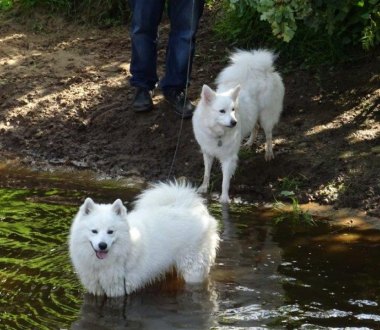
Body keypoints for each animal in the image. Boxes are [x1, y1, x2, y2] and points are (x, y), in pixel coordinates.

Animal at [67, 182, 217, 298]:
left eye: (110, 231)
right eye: (94, 231)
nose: (102, 245)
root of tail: (188, 207)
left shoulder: (119, 289)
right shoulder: (96, 288)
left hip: (194, 270)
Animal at [193, 49, 284, 204]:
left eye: (233, 109)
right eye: (222, 111)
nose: (234, 122)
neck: (218, 133)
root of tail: (261, 69)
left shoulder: (228, 158)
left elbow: (225, 181)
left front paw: (224, 198)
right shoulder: (207, 152)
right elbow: (206, 172)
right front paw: (204, 187)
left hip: (266, 115)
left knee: (268, 134)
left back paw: (268, 153)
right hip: (254, 114)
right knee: (255, 127)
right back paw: (249, 143)